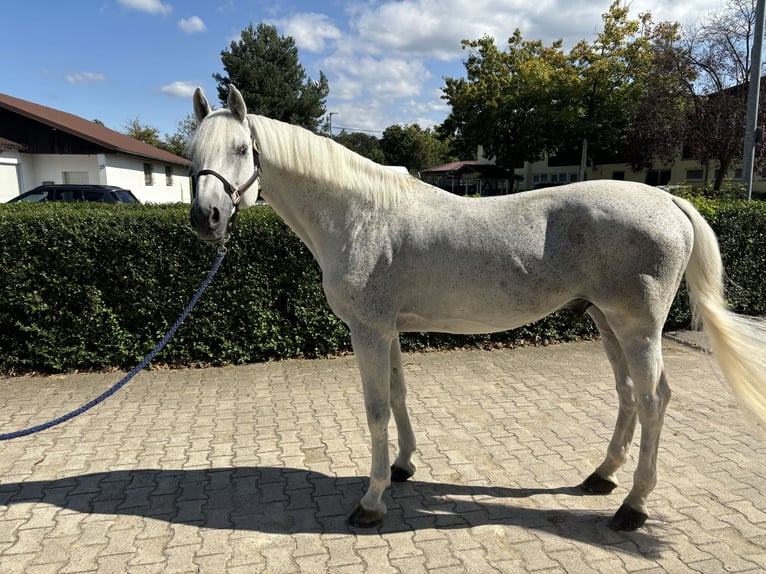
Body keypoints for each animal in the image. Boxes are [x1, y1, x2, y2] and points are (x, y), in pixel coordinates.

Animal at [189, 88, 766, 532]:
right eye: (192, 153)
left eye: (240, 148)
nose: (205, 218)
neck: (360, 215)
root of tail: (668, 200)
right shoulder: (388, 331)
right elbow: (398, 397)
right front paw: (403, 466)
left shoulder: (368, 331)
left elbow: (375, 410)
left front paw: (371, 501)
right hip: (607, 322)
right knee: (627, 394)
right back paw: (602, 477)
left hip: (638, 328)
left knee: (652, 401)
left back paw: (633, 506)